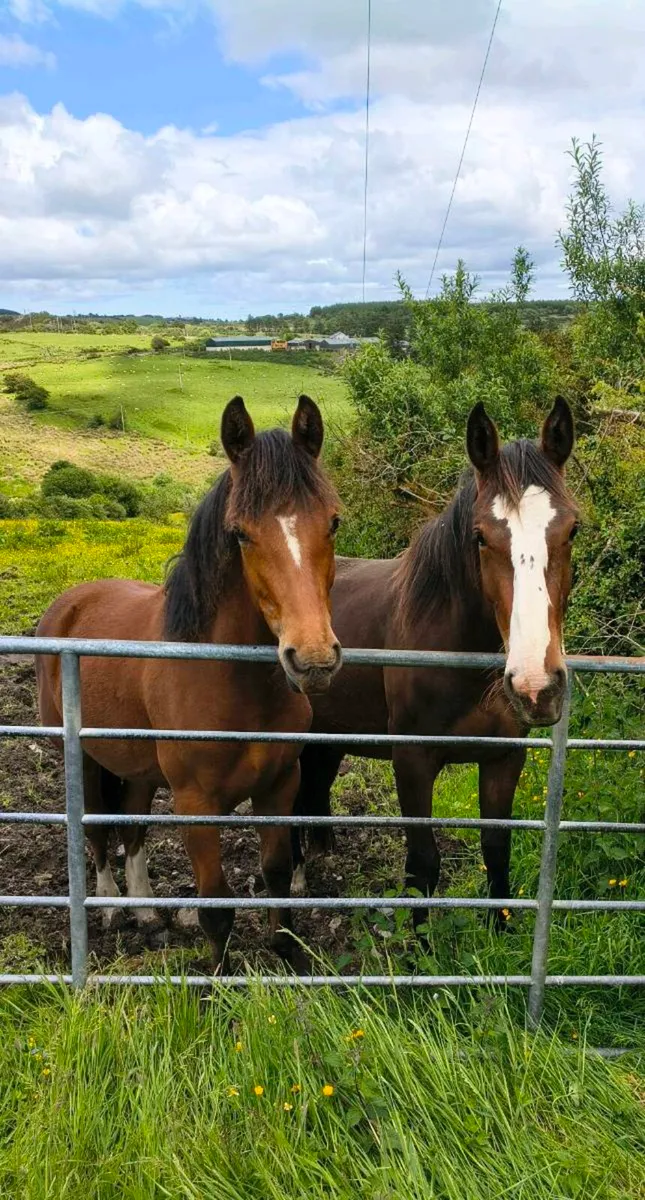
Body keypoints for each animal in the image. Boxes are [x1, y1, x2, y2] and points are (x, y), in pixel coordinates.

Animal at [36, 394, 342, 972]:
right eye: (240, 532)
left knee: (132, 829)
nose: (312, 658)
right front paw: (218, 979)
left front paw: (287, 954)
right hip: (83, 758)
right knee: (97, 831)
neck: (230, 683)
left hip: (137, 768)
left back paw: (145, 912)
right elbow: (215, 903)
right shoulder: (196, 805)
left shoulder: (279, 785)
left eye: (334, 522)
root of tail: (69, 603)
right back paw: (108, 908)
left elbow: (275, 875)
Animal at [291, 398, 579, 931]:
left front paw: (500, 928)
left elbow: (496, 848)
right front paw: (420, 943)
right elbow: (423, 864)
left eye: (573, 529)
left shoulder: (503, 760)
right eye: (481, 537)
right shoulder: (413, 762)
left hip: (329, 733)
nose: (535, 686)